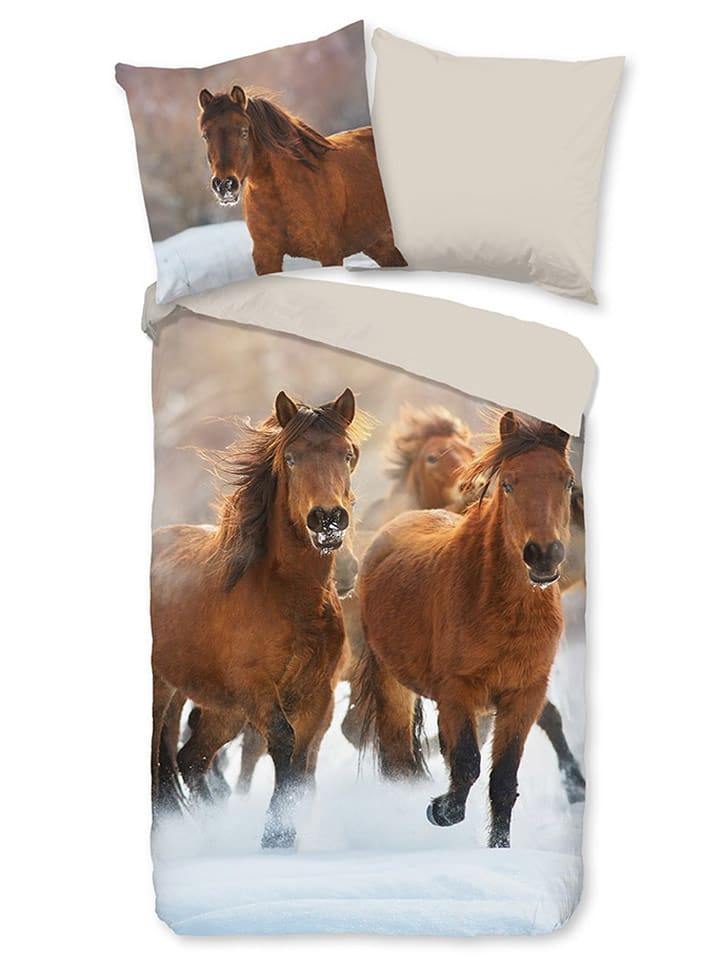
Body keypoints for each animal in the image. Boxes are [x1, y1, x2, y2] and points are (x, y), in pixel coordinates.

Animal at [151, 388, 367, 848]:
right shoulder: (257, 688)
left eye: (347, 454)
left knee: (190, 758)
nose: (327, 519)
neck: (292, 600)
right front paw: (276, 837)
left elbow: (304, 759)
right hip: (165, 690)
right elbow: (284, 744)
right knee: (159, 759)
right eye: (291, 457)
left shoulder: (317, 693)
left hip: (222, 707)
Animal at [198, 86, 406, 275]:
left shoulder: (330, 252)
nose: (225, 185)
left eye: (244, 131)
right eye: (206, 136)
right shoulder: (266, 256)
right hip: (380, 245)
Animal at [352, 410, 578, 848]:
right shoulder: (457, 691)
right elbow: (468, 763)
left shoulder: (524, 695)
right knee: (399, 759)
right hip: (392, 683)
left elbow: (503, 780)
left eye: (568, 480)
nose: (543, 555)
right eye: (508, 483)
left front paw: (498, 848)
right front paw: (440, 810)